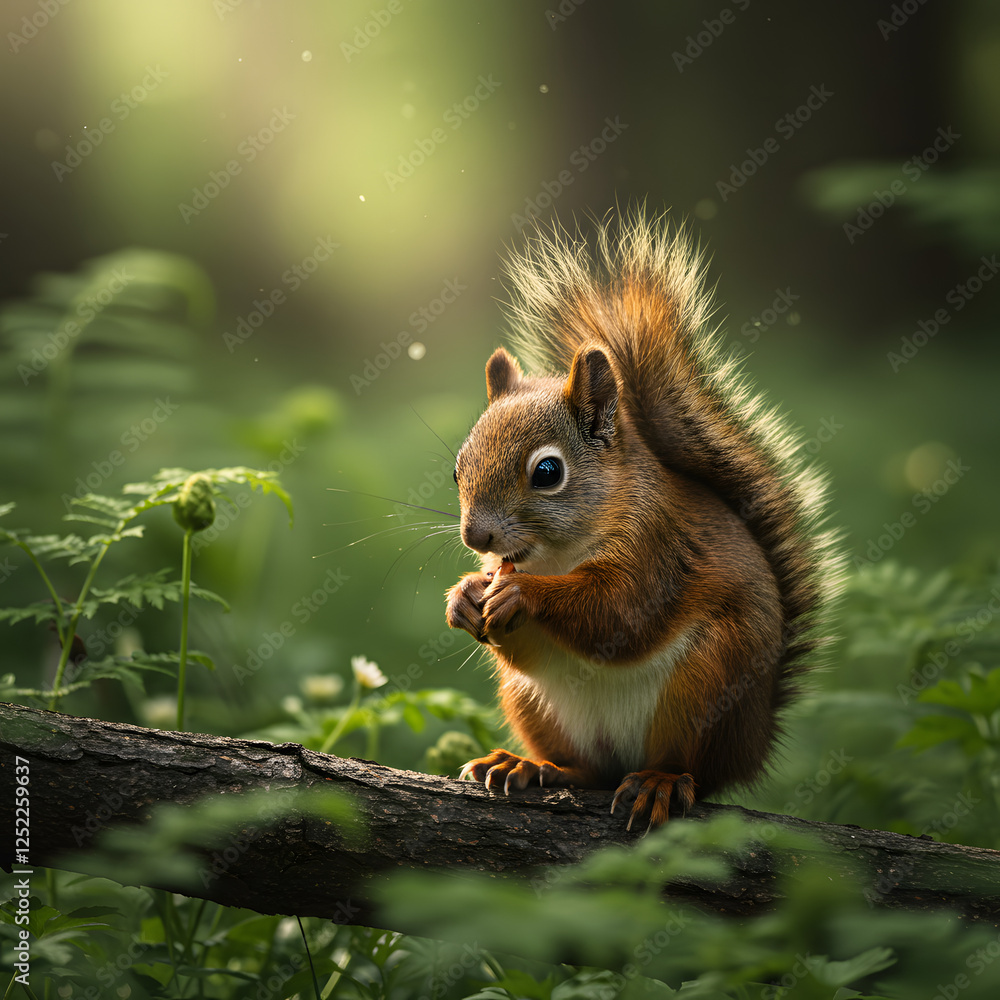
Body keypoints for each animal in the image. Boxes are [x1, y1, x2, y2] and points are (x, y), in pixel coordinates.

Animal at [445, 210, 838, 830]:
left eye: (548, 471)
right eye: (457, 469)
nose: (474, 535)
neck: (558, 555)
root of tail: (754, 743)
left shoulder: (658, 547)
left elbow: (619, 613)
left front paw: (523, 594)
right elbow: (521, 642)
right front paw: (465, 595)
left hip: (707, 683)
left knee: (691, 770)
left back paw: (660, 782)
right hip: (533, 702)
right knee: (588, 768)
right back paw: (531, 766)